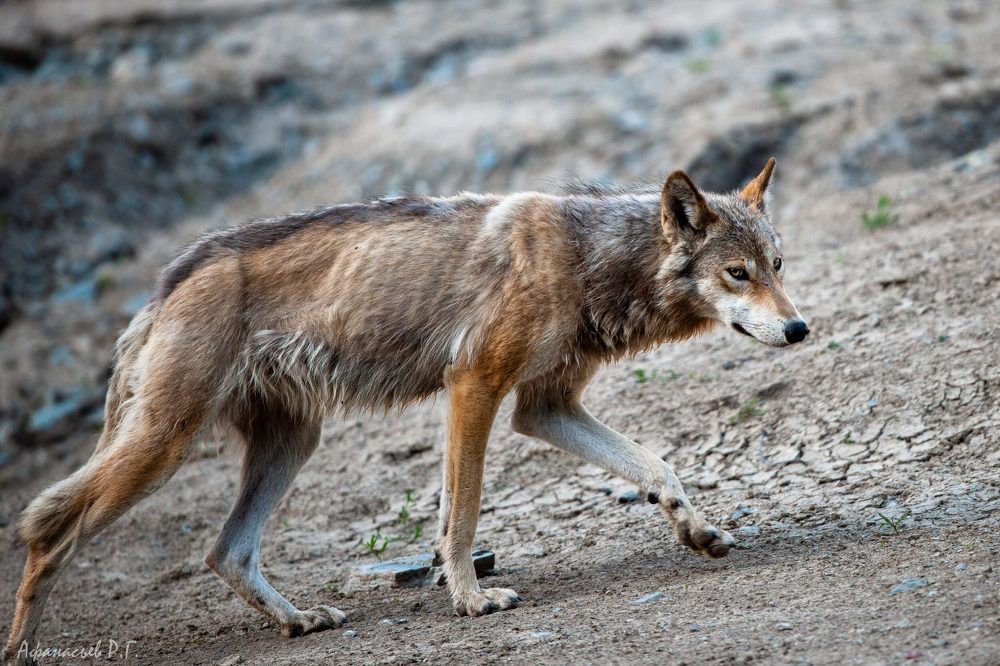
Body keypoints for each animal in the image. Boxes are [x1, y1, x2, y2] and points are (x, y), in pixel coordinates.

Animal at [5, 158, 807, 662]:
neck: (587, 257)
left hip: (291, 443)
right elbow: (462, 515)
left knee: (224, 550)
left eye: (778, 266)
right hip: (165, 445)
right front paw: (472, 600)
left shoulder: (543, 406)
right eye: (737, 274)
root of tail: (166, 282)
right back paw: (24, 649)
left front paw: (697, 530)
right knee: (50, 531)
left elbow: (656, 466)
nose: (799, 329)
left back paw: (301, 621)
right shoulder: (475, 387)